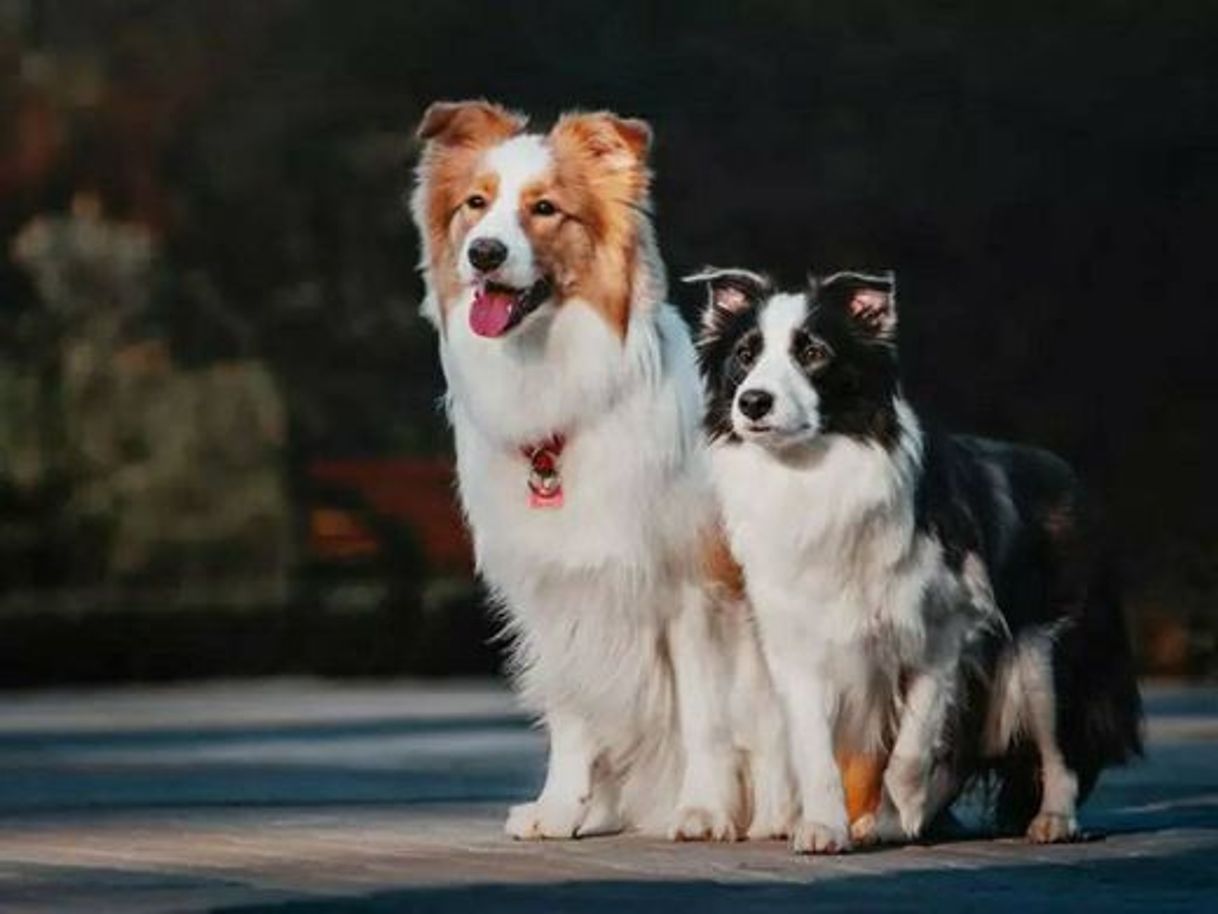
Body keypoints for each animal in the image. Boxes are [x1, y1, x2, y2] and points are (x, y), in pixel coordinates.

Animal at [411, 101, 799, 843]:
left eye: (545, 209)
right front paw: (561, 808)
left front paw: (703, 811)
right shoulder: (556, 589)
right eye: (476, 204)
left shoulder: (694, 589)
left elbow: (706, 716)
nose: (484, 253)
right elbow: (573, 713)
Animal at [696, 268, 1140, 857]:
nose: (752, 402)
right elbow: (815, 750)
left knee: (1058, 747)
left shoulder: (944, 634)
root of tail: (1067, 474)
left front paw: (897, 814)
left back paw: (1052, 820)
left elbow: (912, 747)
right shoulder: (800, 641)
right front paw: (826, 827)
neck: (813, 473)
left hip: (1045, 654)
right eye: (745, 355)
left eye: (813, 352)